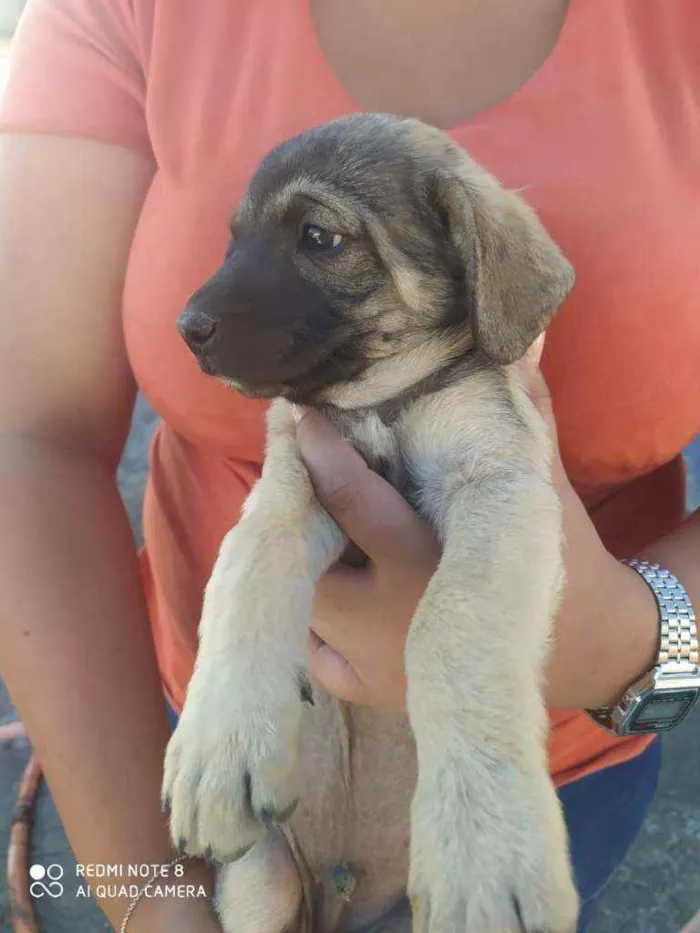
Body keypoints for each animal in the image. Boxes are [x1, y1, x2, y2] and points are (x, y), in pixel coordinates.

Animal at [164, 116, 580, 932]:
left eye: (320, 237)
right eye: (235, 238)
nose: (187, 327)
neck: (379, 404)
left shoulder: (499, 481)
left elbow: (449, 626)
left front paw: (484, 842)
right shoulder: (292, 479)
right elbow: (245, 568)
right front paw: (220, 746)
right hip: (265, 886)